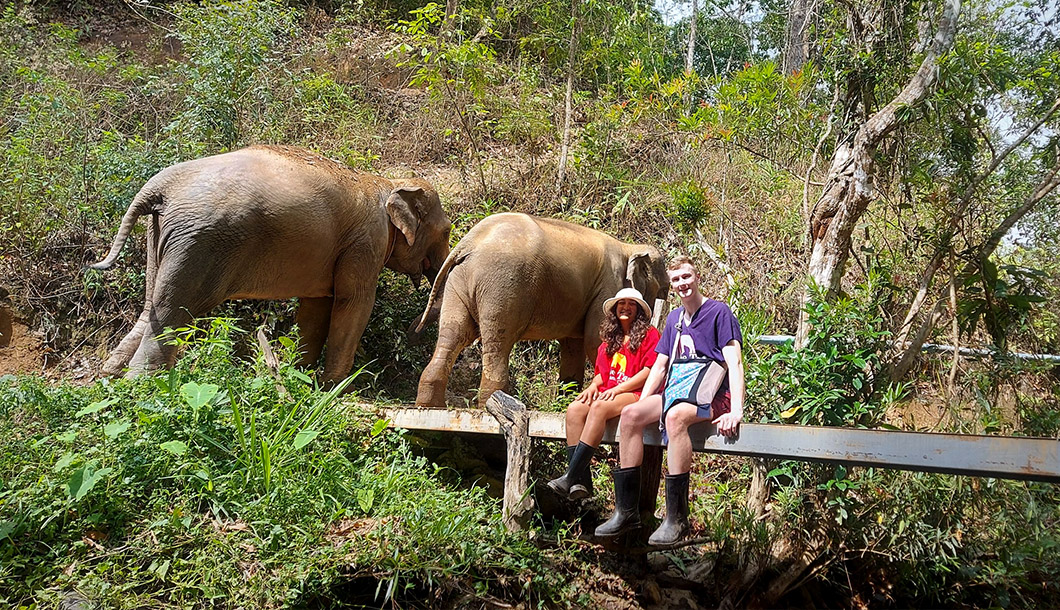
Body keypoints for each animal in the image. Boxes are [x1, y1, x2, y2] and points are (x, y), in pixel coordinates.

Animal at [90, 145, 451, 381]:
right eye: (447, 231)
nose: (414, 331)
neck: (388, 182)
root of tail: (160, 186)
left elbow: (316, 308)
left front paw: (303, 377)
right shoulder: (366, 241)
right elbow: (354, 303)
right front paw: (334, 390)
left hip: (163, 235)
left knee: (151, 304)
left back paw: (111, 376)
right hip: (199, 242)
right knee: (172, 310)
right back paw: (143, 387)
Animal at [411, 212, 665, 407]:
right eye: (662, 290)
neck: (628, 247)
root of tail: (468, 242)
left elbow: (573, 346)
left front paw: (567, 401)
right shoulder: (608, 286)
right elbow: (596, 341)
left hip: (458, 282)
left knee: (452, 335)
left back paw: (429, 406)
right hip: (503, 284)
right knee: (498, 343)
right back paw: (492, 405)